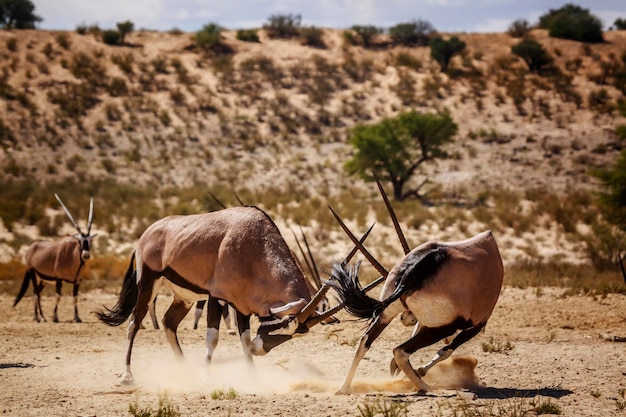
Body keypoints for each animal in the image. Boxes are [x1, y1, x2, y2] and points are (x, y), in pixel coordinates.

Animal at [13, 193, 94, 324]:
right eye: (79, 241)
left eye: (89, 240)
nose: (85, 255)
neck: (72, 255)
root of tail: (31, 248)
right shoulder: (59, 279)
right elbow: (58, 296)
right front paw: (55, 317)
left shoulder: (77, 281)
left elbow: (75, 297)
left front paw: (77, 317)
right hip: (32, 273)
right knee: (36, 293)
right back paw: (40, 317)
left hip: (43, 279)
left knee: (35, 292)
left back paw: (38, 317)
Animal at [326, 179, 502, 394]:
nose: (406, 319)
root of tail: (414, 271)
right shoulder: (475, 325)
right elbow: (446, 351)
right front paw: (419, 371)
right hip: (444, 327)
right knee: (401, 351)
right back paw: (425, 386)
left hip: (386, 314)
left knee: (364, 343)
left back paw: (344, 388)